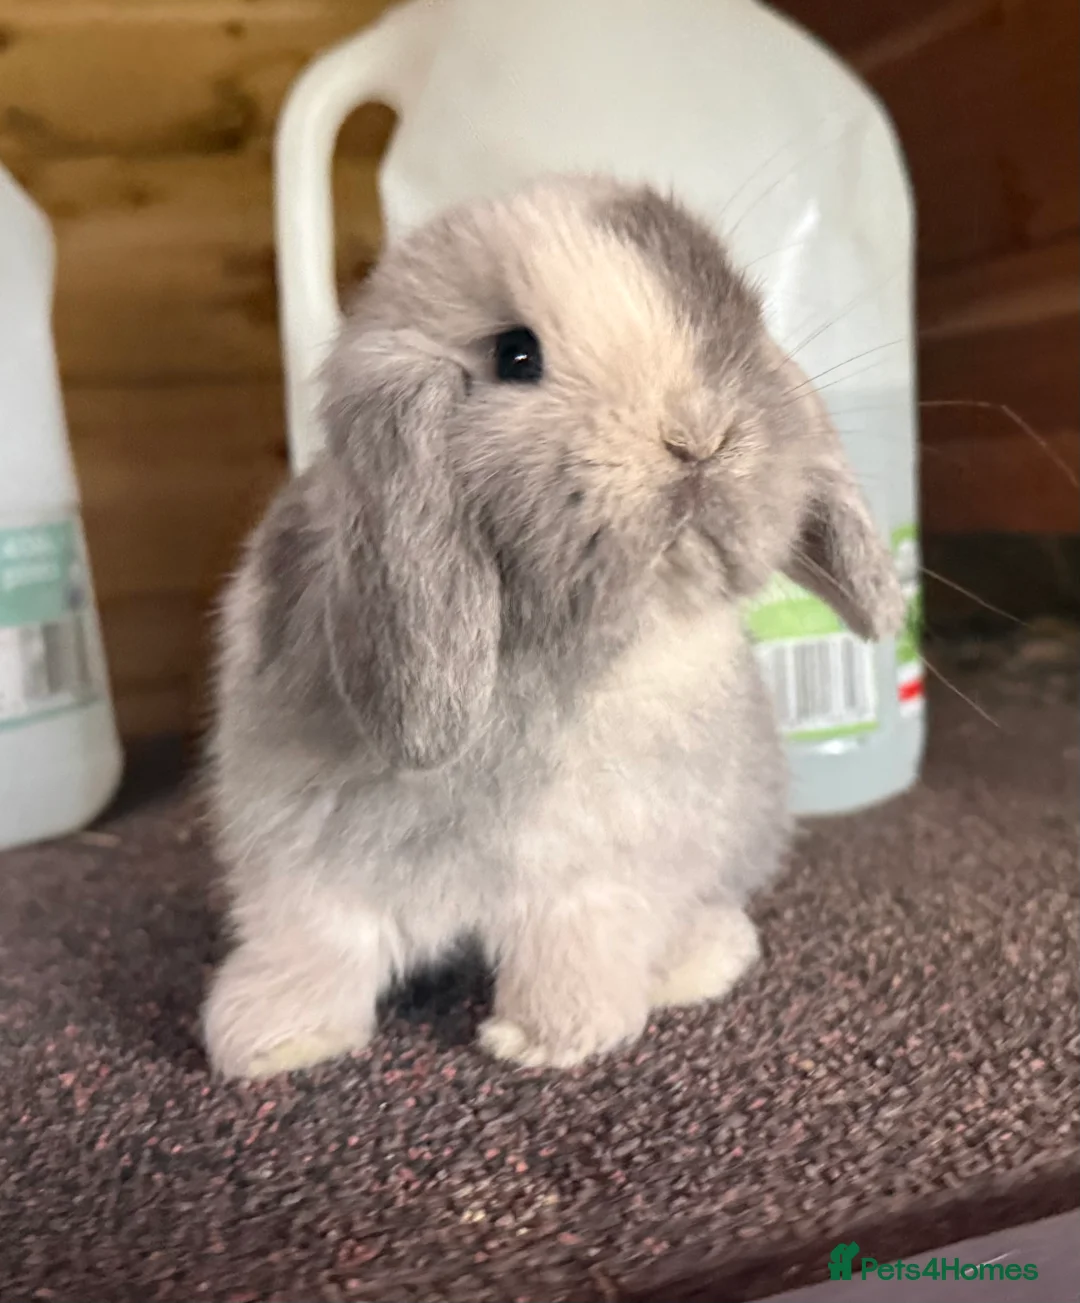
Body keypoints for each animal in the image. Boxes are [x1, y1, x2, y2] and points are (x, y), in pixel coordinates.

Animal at [201, 174, 904, 1078]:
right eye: (515, 355)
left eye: (744, 325)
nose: (698, 435)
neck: (550, 653)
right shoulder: (301, 851)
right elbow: (317, 936)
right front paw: (269, 1039)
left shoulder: (596, 868)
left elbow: (574, 938)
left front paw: (549, 1039)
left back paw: (696, 958)